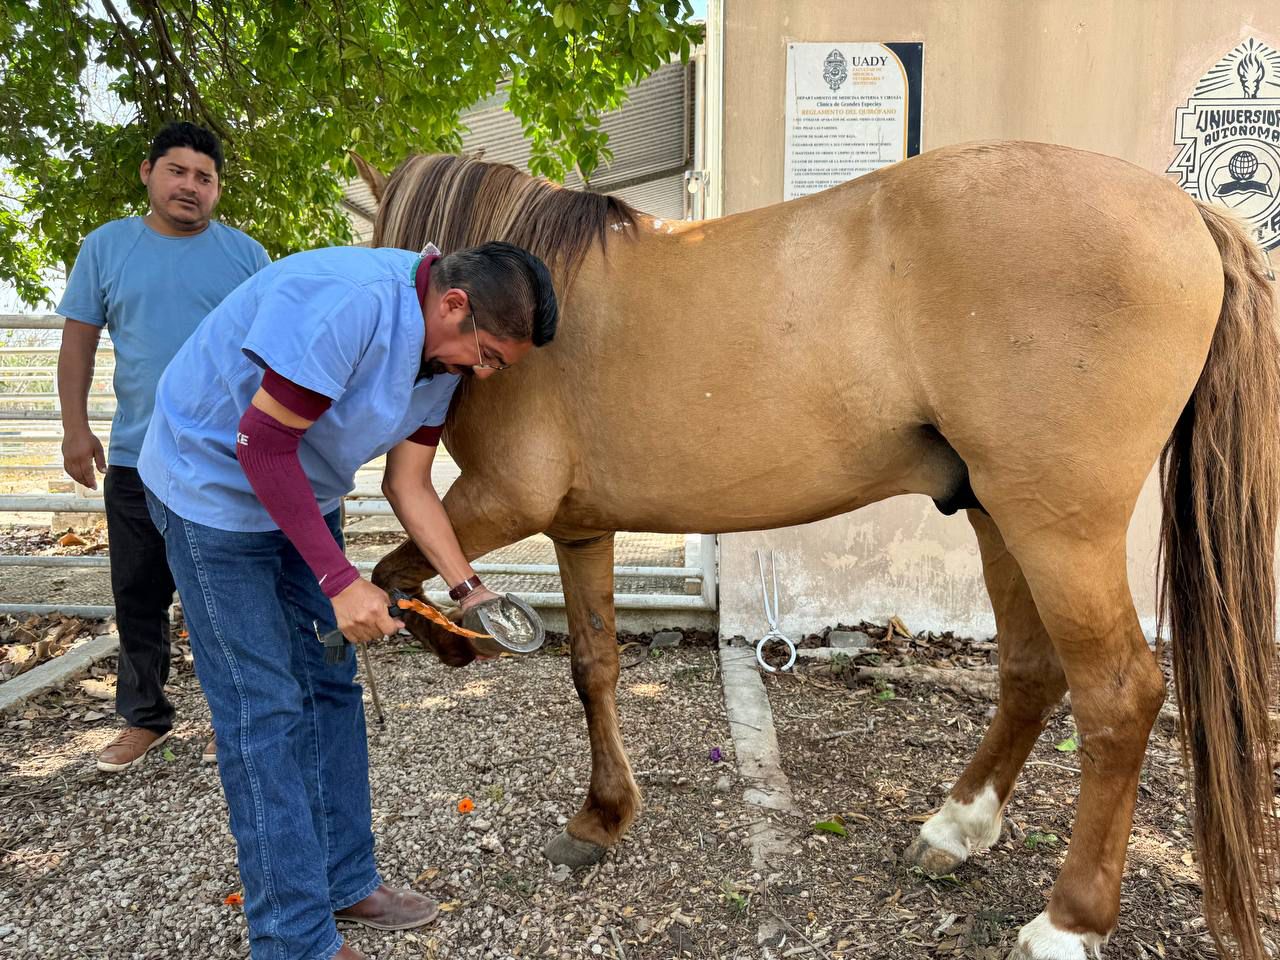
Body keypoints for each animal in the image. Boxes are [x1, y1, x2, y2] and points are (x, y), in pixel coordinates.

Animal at [350, 140, 1280, 960]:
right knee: (1030, 673)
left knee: (1119, 697)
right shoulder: (580, 525)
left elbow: (390, 574)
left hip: (1058, 526)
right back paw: (956, 828)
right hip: (1000, 514)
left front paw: (448, 641)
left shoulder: (501, 501)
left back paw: (1067, 923)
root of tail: (1187, 211)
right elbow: (593, 666)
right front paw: (601, 817)